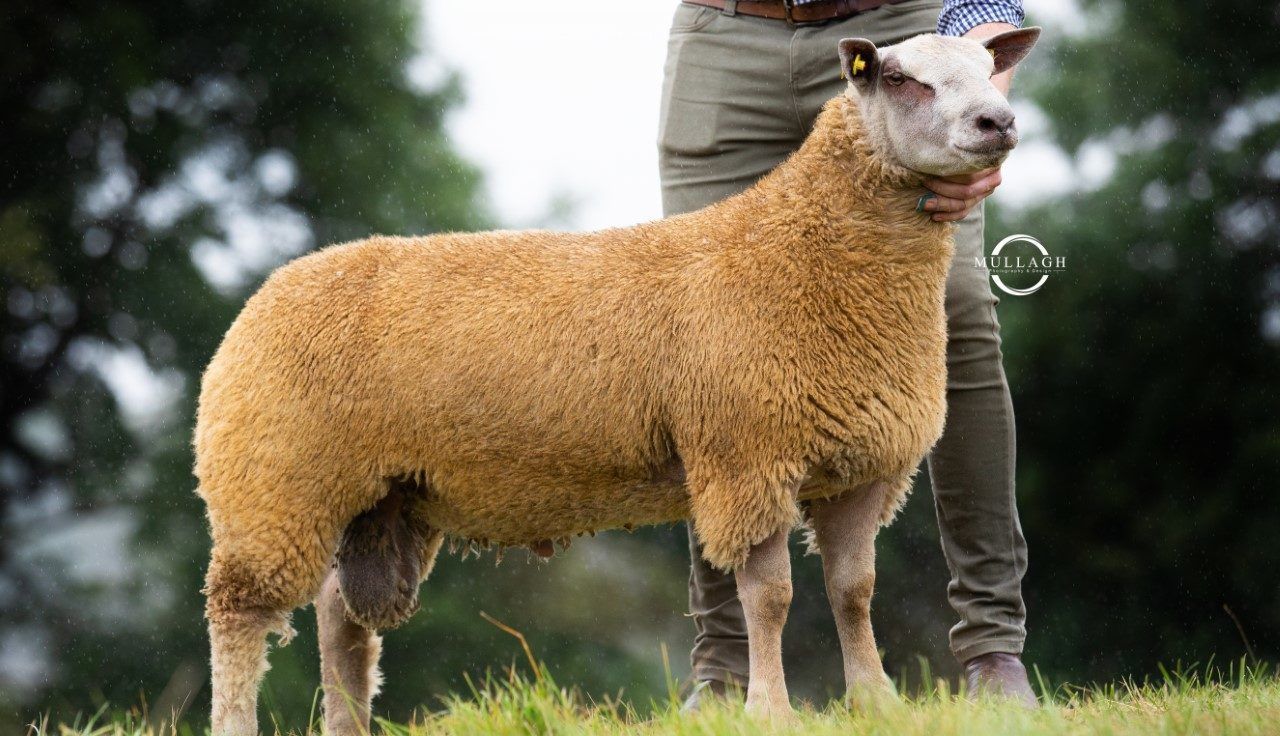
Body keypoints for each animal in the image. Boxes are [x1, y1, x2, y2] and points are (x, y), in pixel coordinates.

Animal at [195, 28, 1040, 735]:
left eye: (987, 67)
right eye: (899, 78)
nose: (997, 123)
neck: (805, 253)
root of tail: (268, 293)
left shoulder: (860, 467)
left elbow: (852, 590)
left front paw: (876, 702)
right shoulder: (748, 460)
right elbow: (770, 598)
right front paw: (771, 711)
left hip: (379, 499)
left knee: (341, 618)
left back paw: (347, 726)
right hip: (275, 480)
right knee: (240, 614)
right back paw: (236, 722)